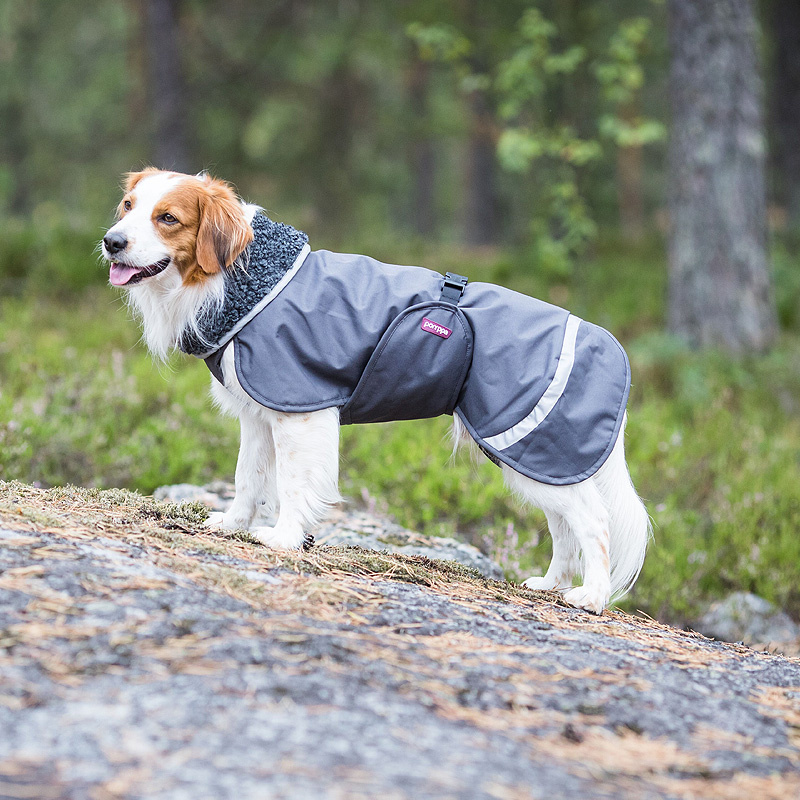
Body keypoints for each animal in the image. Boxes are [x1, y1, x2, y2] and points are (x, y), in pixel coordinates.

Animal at [101, 169, 648, 612]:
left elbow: (292, 486)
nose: (111, 242)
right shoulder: (258, 415)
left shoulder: (300, 412)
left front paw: (283, 538)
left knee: (594, 524)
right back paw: (551, 584)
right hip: (532, 462)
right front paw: (233, 525)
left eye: (167, 218)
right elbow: (247, 479)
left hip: (537, 451)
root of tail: (607, 344)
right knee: (564, 527)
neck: (241, 280)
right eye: (127, 206)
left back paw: (591, 596)